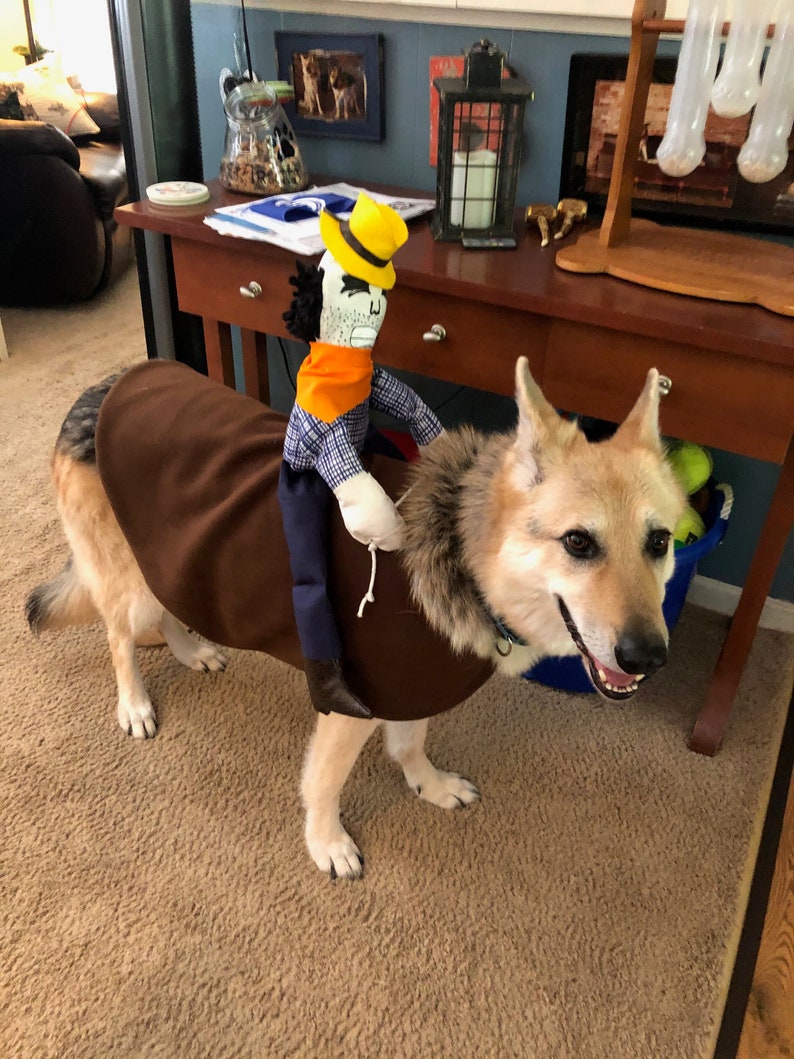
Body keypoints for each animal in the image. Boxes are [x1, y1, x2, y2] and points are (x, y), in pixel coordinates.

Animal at [23, 355, 686, 876]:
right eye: (578, 543)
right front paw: (326, 842)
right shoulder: (351, 705)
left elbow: (410, 746)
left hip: (169, 562)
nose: (649, 659)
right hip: (130, 579)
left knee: (165, 614)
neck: (464, 555)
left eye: (660, 543)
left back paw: (191, 651)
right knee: (120, 638)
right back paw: (134, 703)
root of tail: (106, 387)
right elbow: (324, 782)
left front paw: (428, 786)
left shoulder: (411, 688)